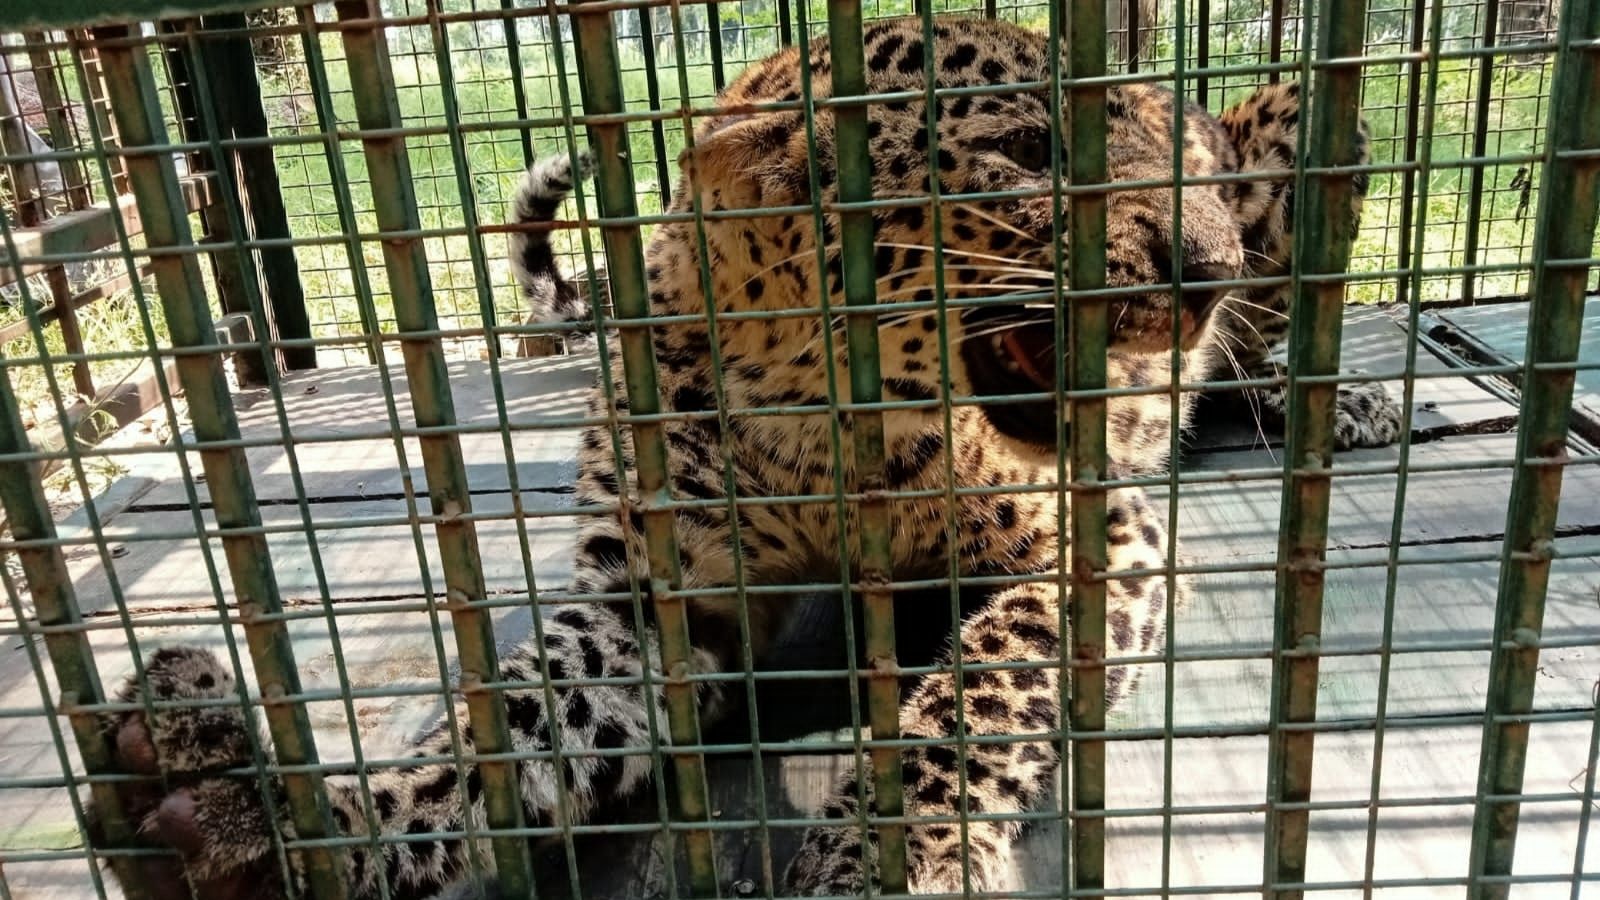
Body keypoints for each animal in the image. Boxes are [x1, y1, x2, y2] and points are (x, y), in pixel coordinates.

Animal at [88, 15, 1399, 899]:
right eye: (1030, 149)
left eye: (1192, 173)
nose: (1209, 265)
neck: (822, 410)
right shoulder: (658, 602)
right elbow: (511, 715)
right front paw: (287, 815)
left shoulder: (1092, 536)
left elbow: (968, 698)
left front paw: (877, 853)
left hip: (1298, 124)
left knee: (1276, 331)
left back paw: (1338, 399)